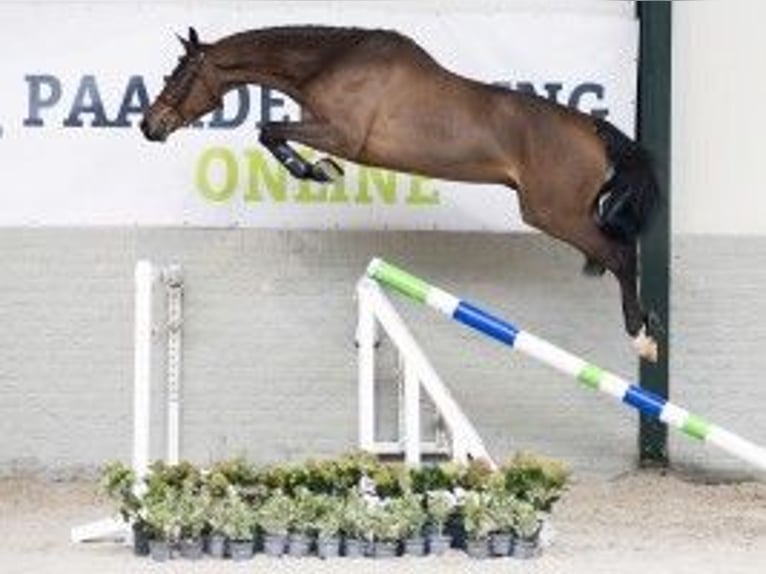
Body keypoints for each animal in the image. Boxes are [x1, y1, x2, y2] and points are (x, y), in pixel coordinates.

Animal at [141, 27, 664, 362]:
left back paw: (643, 338)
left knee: (620, 253)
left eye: (178, 76)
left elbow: (268, 129)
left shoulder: (343, 135)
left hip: (552, 213)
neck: (331, 62)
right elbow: (270, 131)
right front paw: (317, 169)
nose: (150, 125)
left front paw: (317, 170)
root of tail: (594, 130)